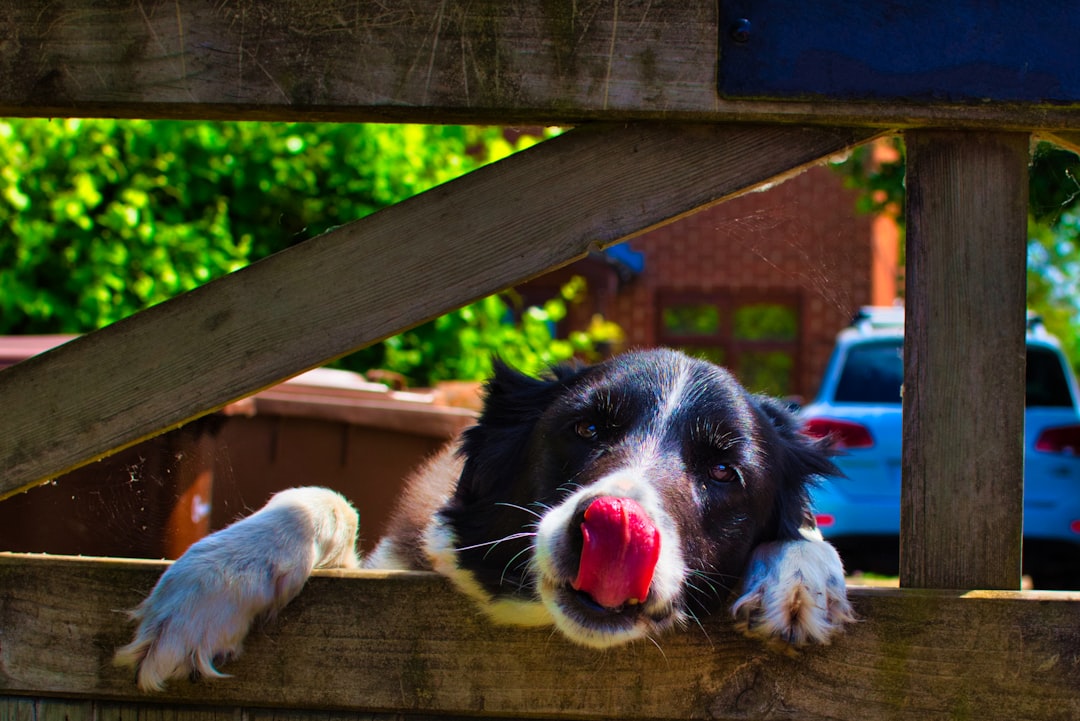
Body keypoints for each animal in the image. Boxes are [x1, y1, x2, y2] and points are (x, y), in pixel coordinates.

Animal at [116, 349, 851, 690]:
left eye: (724, 472)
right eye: (587, 428)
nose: (612, 522)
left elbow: (806, 534)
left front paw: (801, 567)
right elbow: (327, 498)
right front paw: (213, 582)